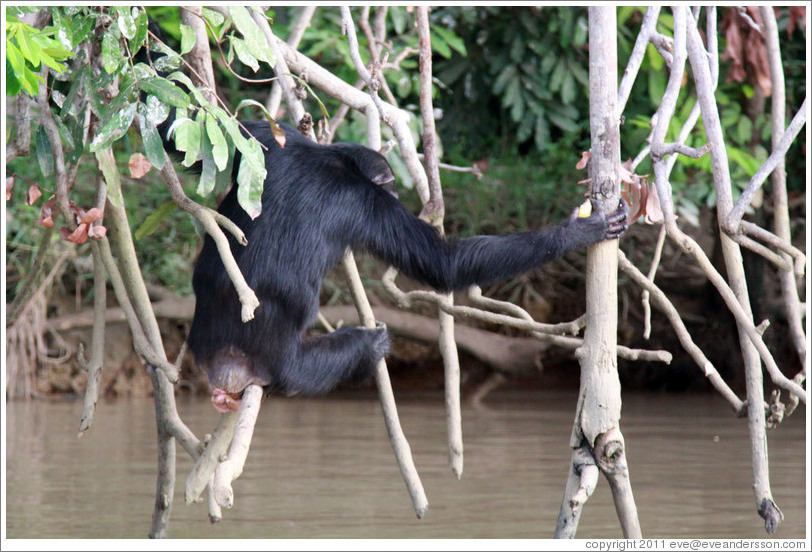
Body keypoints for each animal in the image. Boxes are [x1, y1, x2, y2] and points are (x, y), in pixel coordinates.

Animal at [182, 122, 628, 414]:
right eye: (392, 185)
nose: (398, 191)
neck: (335, 160)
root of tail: (223, 365)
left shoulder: (272, 140)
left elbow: (197, 138)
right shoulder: (369, 205)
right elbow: (443, 264)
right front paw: (578, 231)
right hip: (278, 365)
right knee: (328, 361)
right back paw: (369, 348)